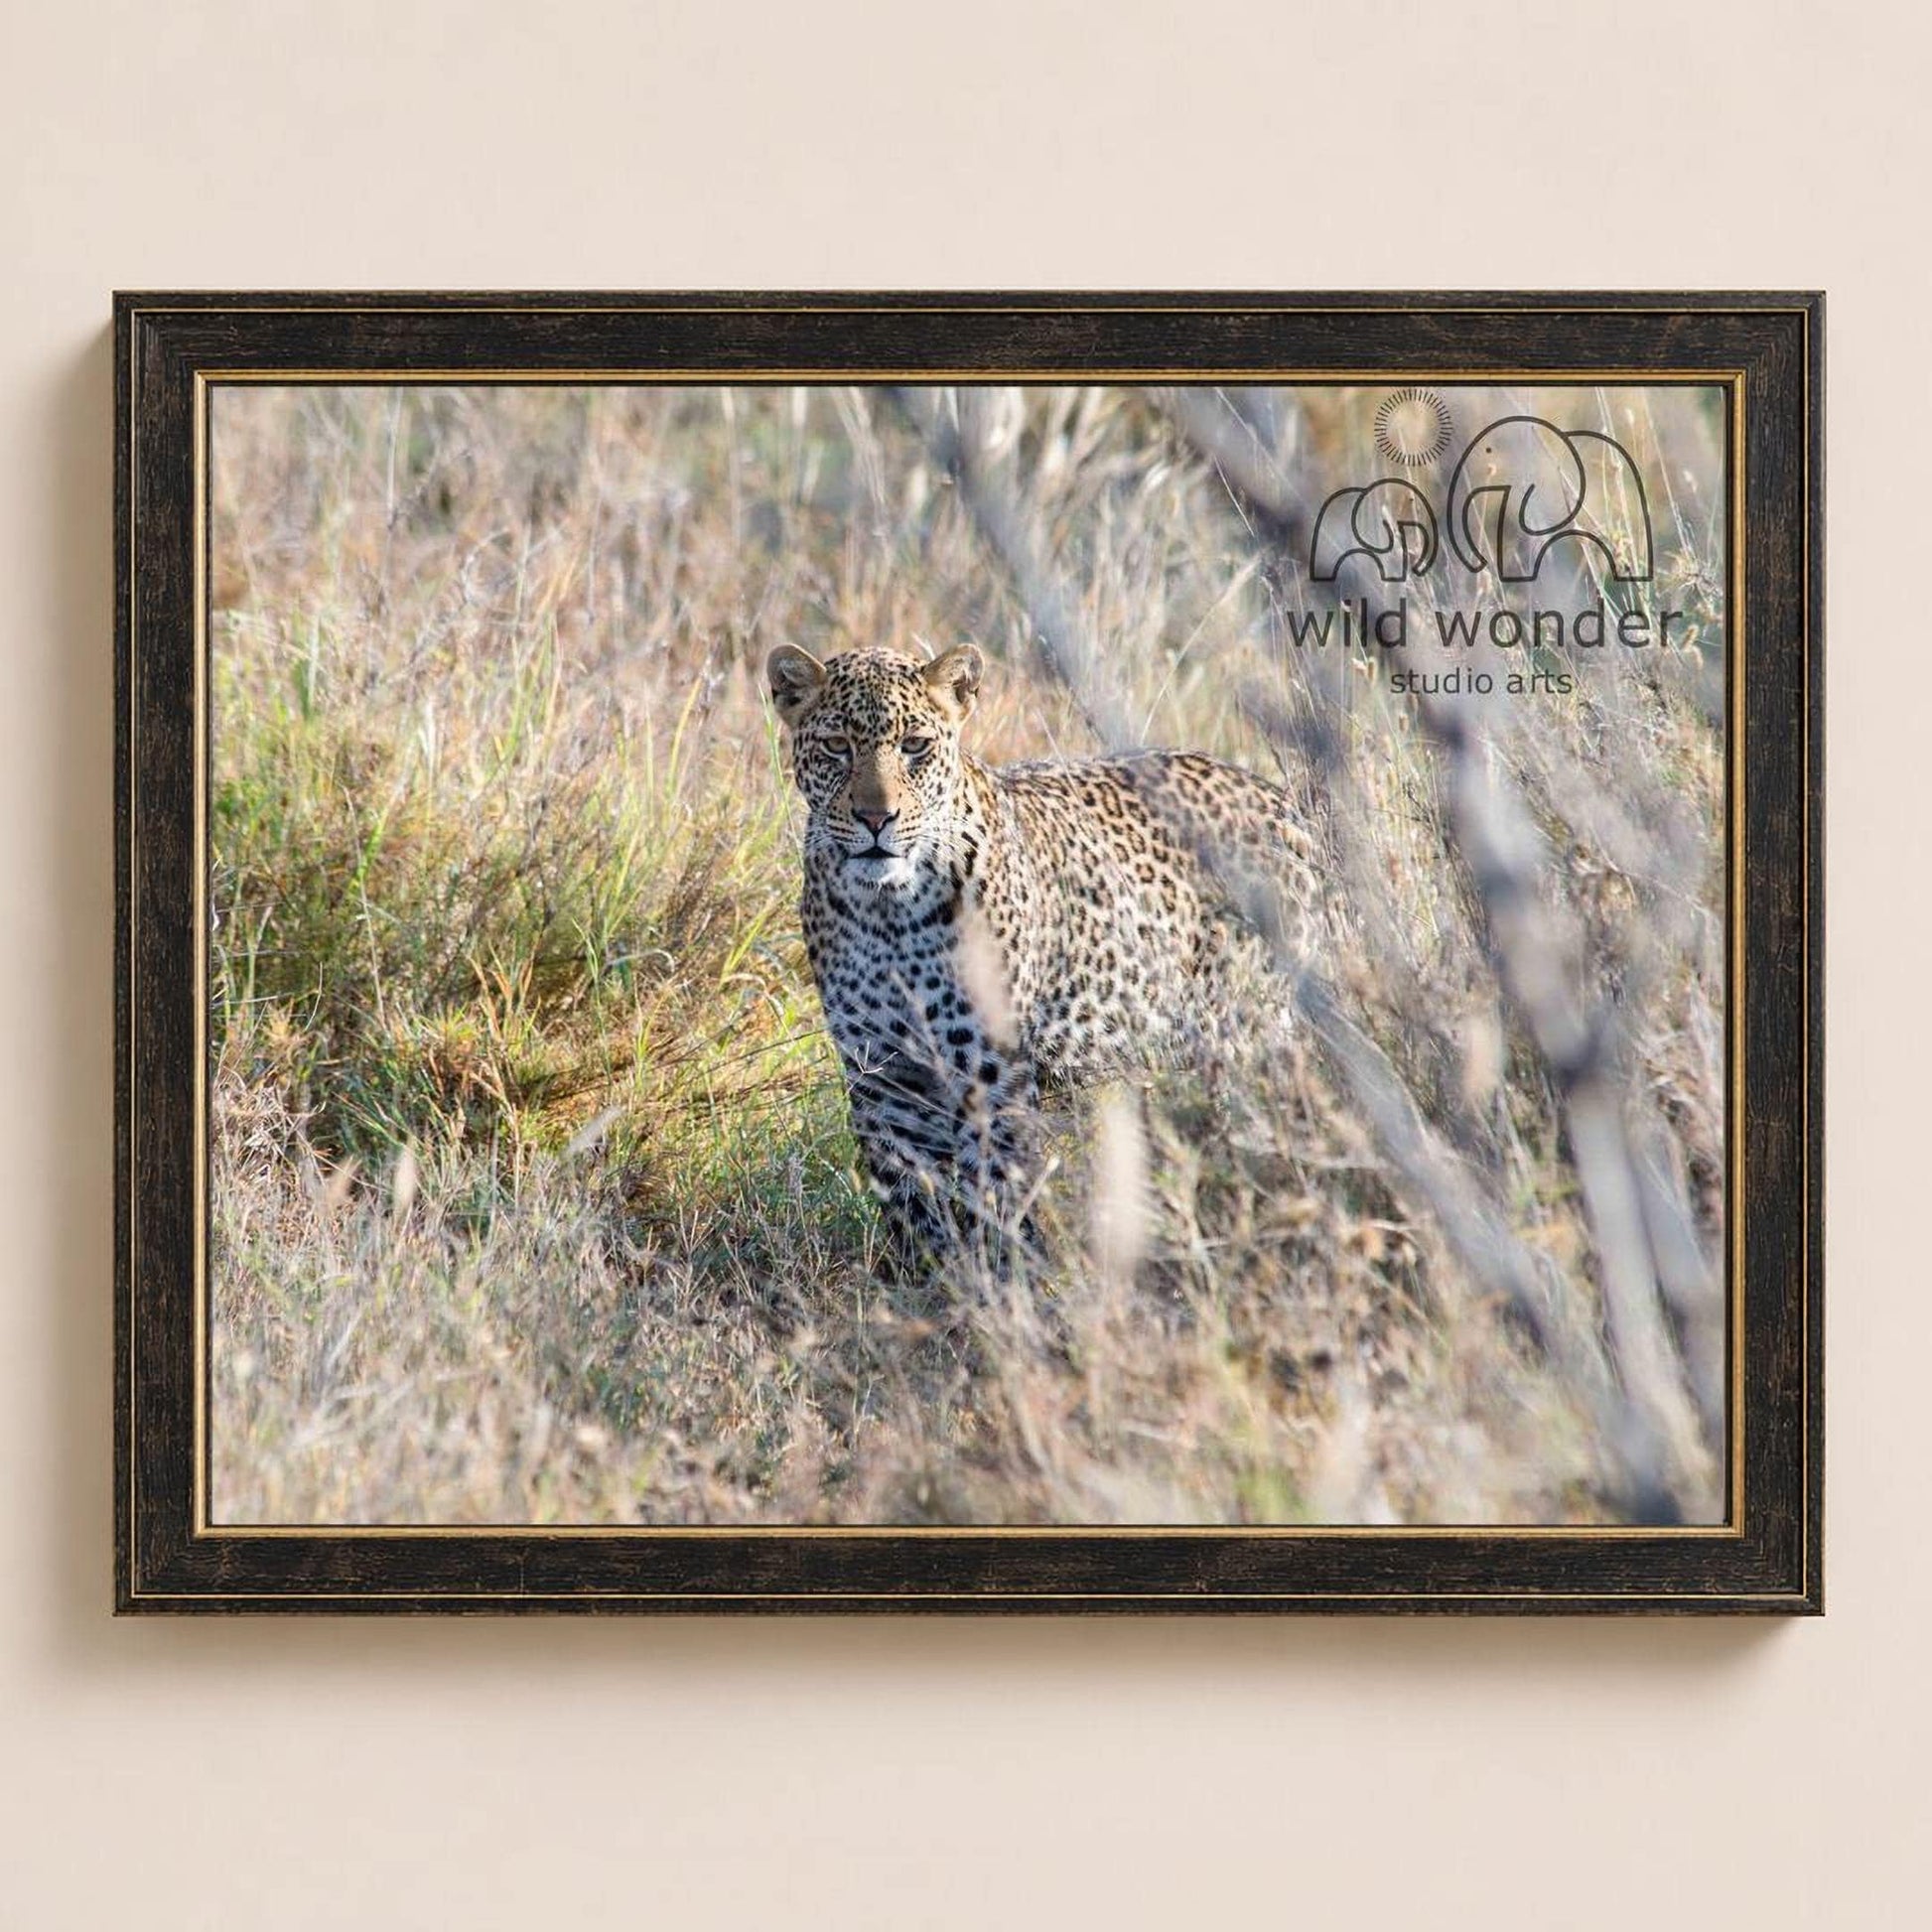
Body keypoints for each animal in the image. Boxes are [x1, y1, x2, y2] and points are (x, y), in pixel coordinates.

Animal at [766, 639, 1318, 1273]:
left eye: (915, 747)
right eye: (837, 745)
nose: (876, 819)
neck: (887, 913)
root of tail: (1281, 801)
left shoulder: (989, 1068)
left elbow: (999, 1191)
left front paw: (1014, 1282)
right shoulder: (885, 1076)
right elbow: (913, 1198)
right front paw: (932, 1282)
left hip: (1247, 1036)